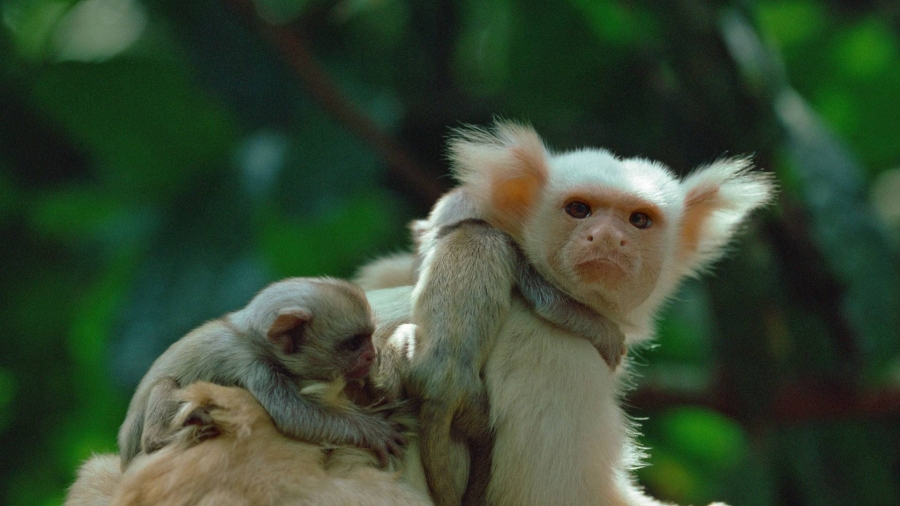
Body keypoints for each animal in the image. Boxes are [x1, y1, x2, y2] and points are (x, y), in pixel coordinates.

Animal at [118, 276, 406, 466]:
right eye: (355, 343)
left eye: (368, 338)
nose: (371, 354)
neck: (254, 339)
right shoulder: (254, 366)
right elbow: (293, 416)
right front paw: (372, 431)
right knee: (166, 384)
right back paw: (158, 439)